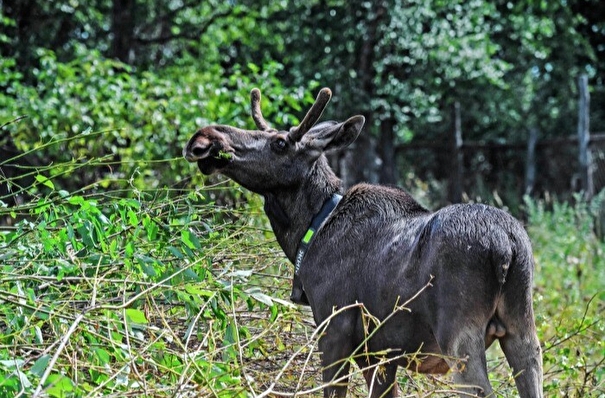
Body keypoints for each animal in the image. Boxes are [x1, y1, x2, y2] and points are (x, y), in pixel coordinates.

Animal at [183, 88, 544, 396]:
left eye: (280, 143)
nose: (206, 137)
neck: (307, 232)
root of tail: (507, 247)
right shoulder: (379, 354)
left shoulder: (335, 330)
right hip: (522, 330)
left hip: (458, 336)